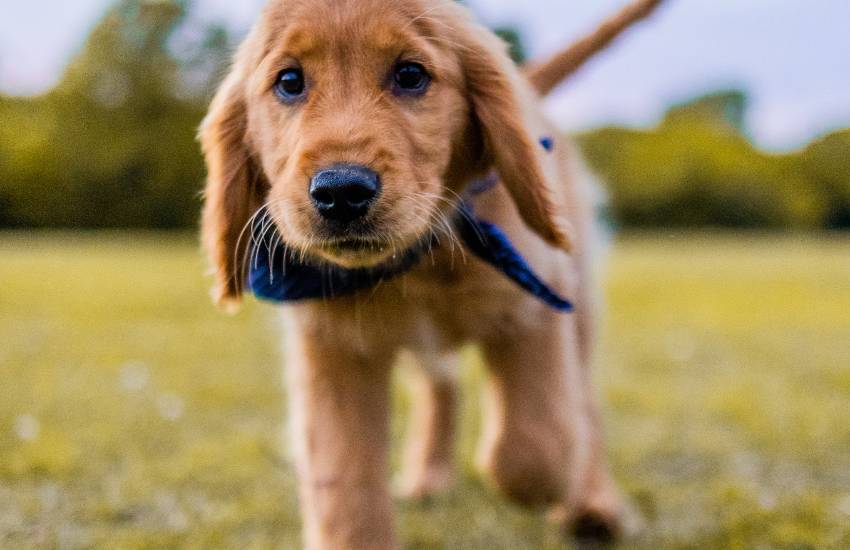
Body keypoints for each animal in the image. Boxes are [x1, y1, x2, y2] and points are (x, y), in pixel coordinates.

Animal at [199, 1, 664, 548]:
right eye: (289, 81)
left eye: (410, 75)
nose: (340, 192)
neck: (419, 263)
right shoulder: (332, 351)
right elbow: (343, 487)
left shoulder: (537, 302)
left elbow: (538, 442)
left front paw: (552, 484)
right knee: (441, 383)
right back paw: (428, 475)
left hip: (580, 299)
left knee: (584, 402)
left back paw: (594, 503)